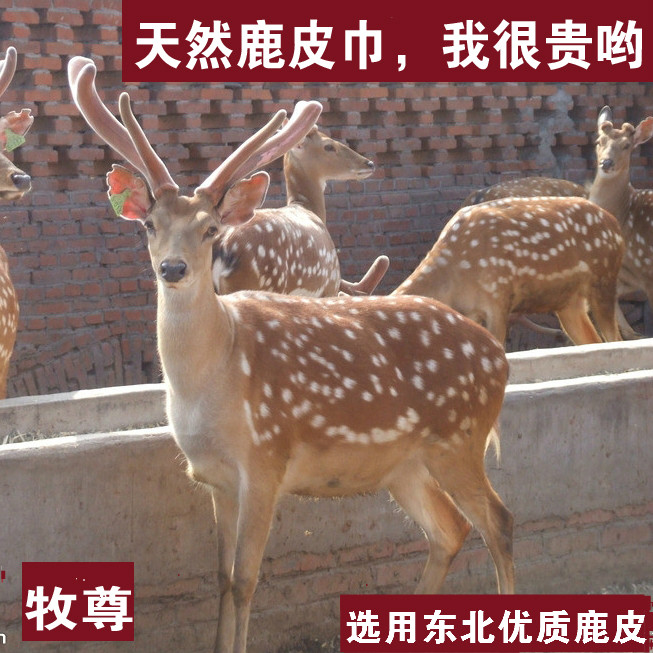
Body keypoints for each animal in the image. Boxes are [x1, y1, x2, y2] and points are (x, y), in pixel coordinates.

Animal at [393, 196, 625, 346]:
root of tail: (616, 225)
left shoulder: (498, 296)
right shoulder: (472, 312)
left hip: (604, 279)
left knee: (615, 339)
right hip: (568, 302)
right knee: (593, 341)